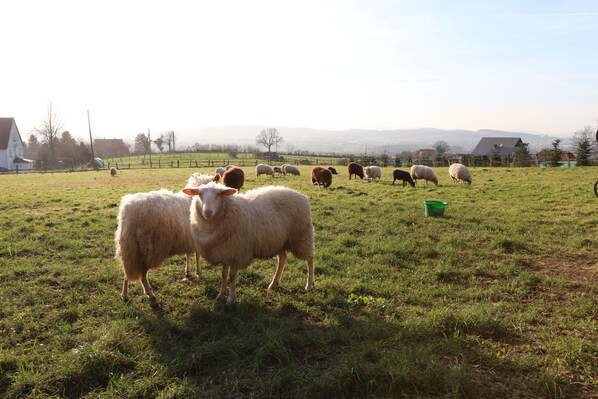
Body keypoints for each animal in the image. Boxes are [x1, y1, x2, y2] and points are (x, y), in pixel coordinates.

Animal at [183, 183, 316, 304]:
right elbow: (224, 275)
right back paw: (273, 284)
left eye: (219, 194)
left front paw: (231, 299)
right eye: (200, 194)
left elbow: (232, 277)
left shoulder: (236, 253)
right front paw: (220, 296)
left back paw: (309, 285)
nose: (208, 212)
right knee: (283, 258)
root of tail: (302, 196)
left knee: (310, 259)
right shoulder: (225, 252)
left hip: (302, 236)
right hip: (280, 240)